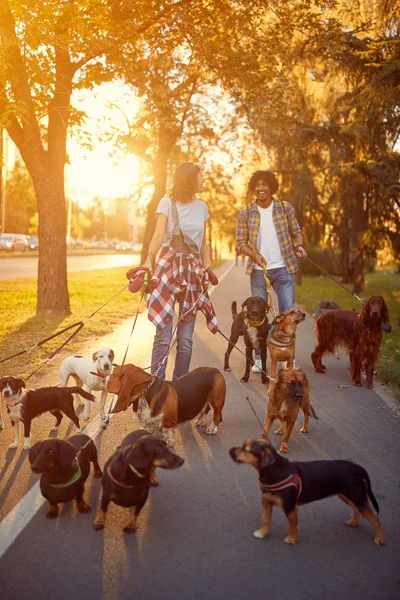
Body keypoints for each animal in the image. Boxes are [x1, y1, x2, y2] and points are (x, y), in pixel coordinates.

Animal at [230, 438, 386, 548]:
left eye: (246, 449)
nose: (230, 450)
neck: (274, 471)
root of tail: (358, 468)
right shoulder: (266, 502)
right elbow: (266, 519)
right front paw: (262, 532)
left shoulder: (290, 507)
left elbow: (292, 525)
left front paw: (292, 539)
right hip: (348, 496)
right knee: (357, 510)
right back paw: (354, 522)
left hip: (355, 496)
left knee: (375, 518)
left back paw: (380, 538)